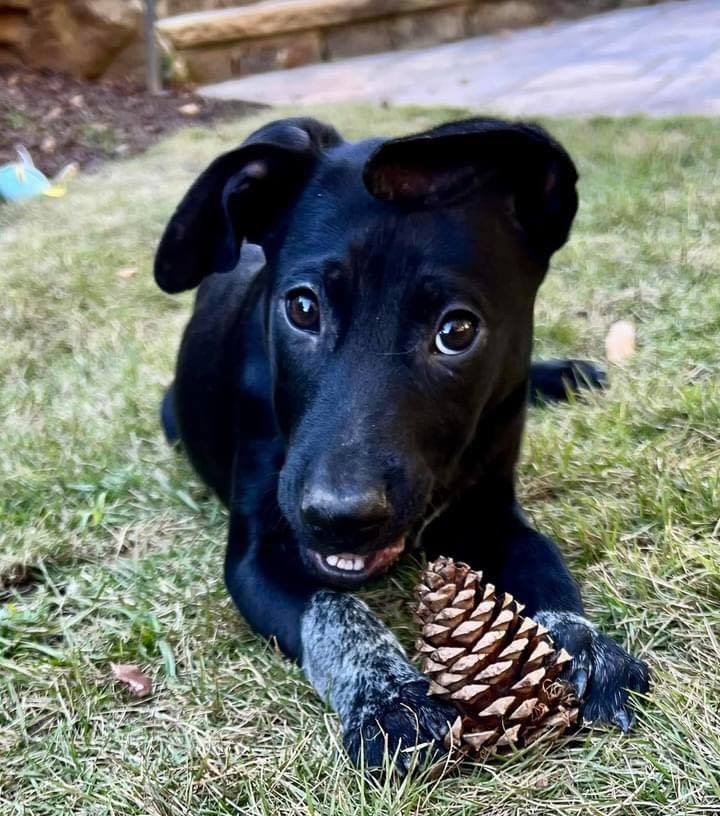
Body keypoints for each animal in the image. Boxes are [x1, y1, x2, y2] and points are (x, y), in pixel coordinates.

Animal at [155, 115, 648, 772]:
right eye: (302, 308)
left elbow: (548, 573)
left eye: (457, 330)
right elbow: (333, 609)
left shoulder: (494, 514)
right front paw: (389, 696)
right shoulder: (255, 553)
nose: (339, 518)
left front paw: (586, 645)